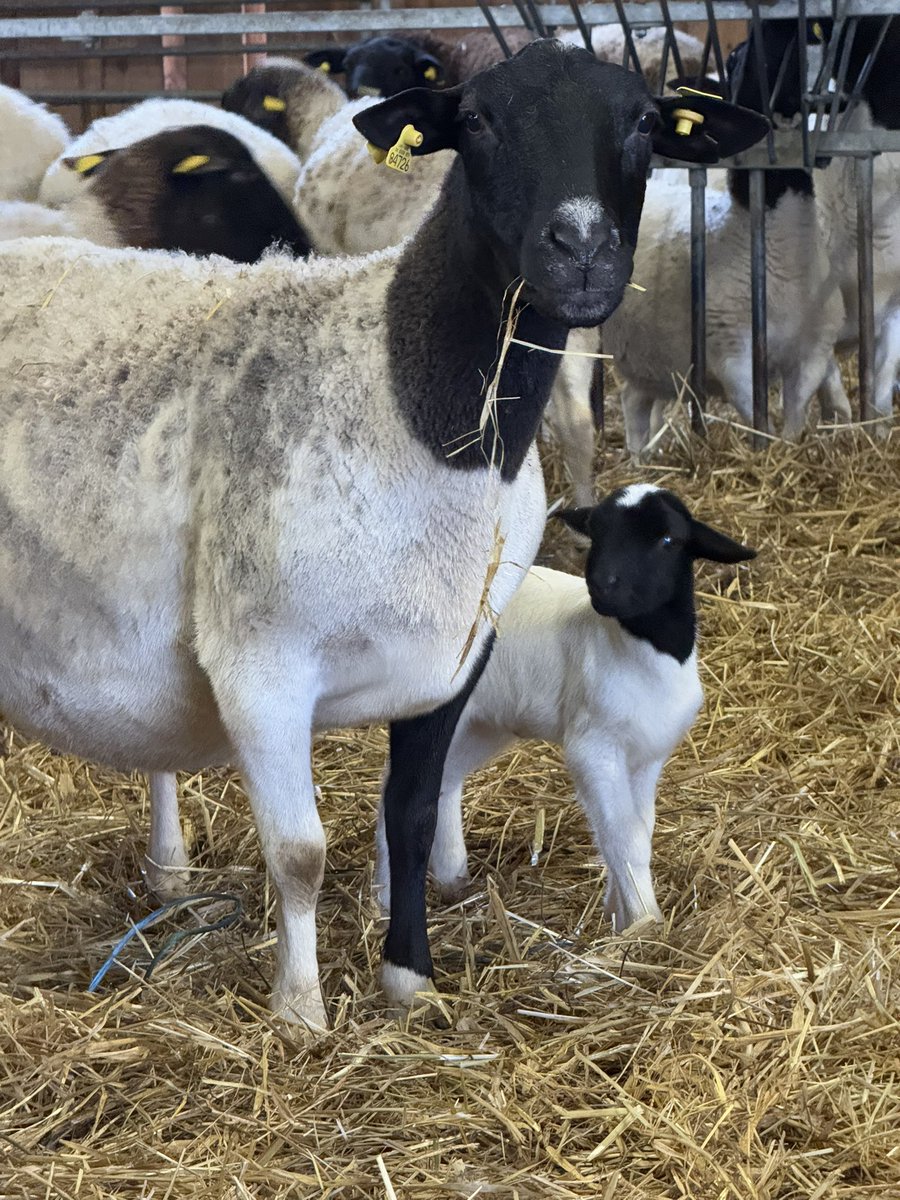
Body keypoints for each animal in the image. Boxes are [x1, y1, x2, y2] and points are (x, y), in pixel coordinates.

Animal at [374, 484, 756, 929]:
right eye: (597, 533)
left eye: (667, 540)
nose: (602, 584)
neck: (643, 652)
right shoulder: (593, 748)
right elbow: (625, 839)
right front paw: (646, 923)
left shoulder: (646, 756)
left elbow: (638, 831)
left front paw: (619, 915)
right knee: (397, 791)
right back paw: (383, 899)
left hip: (485, 723)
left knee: (445, 779)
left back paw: (453, 878)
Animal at [604, 23, 851, 452]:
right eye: (735, 59)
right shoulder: (732, 356)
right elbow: (758, 419)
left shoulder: (813, 351)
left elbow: (795, 415)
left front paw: (789, 449)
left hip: (654, 361)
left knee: (638, 400)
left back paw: (646, 457)